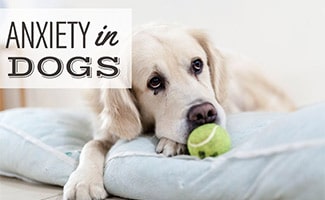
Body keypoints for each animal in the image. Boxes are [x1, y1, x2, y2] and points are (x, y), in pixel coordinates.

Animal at [62, 24, 294, 199]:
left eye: (197, 64)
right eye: (154, 82)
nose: (204, 113)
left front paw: (173, 142)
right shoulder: (106, 131)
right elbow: (91, 145)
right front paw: (83, 181)